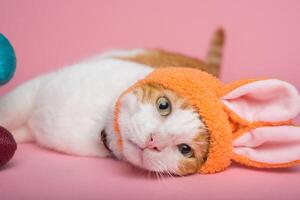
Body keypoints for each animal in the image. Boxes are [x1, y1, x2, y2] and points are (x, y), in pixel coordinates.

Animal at [0, 28, 224, 175]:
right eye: (163, 105)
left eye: (185, 149)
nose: (154, 142)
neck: (99, 123)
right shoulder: (34, 90)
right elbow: (8, 110)